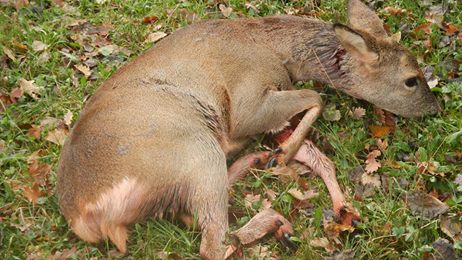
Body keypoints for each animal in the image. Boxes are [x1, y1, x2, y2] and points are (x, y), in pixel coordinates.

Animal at [57, 0, 440, 258]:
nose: (436, 107)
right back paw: (274, 218)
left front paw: (290, 159)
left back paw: (258, 165)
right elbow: (316, 96)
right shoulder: (247, 100)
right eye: (411, 79)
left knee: (192, 216)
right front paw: (285, 153)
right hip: (195, 147)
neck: (275, 48)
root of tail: (83, 215)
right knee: (212, 244)